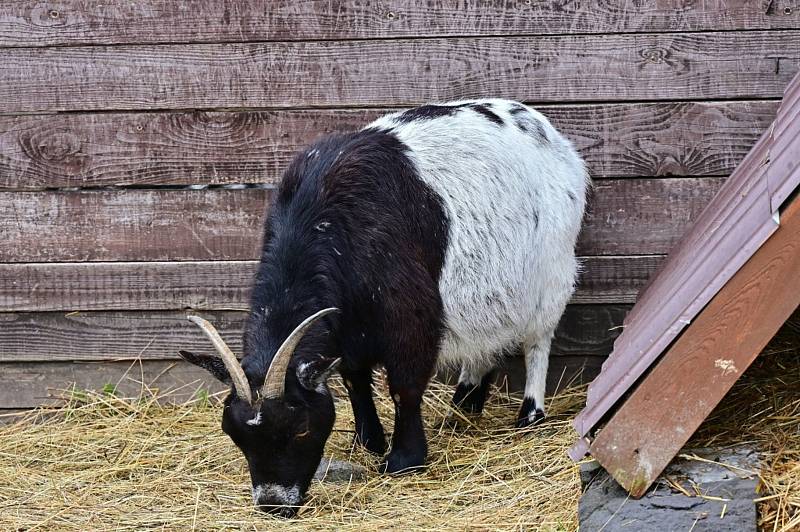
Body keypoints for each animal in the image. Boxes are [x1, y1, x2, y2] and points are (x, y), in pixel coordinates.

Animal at [180, 100, 588, 516]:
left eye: (301, 429)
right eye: (235, 435)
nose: (274, 504)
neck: (329, 226)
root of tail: (545, 129)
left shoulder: (411, 318)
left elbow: (404, 386)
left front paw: (404, 460)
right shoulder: (349, 329)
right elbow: (355, 380)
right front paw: (368, 441)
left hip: (552, 273)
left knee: (538, 339)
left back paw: (530, 414)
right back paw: (462, 406)